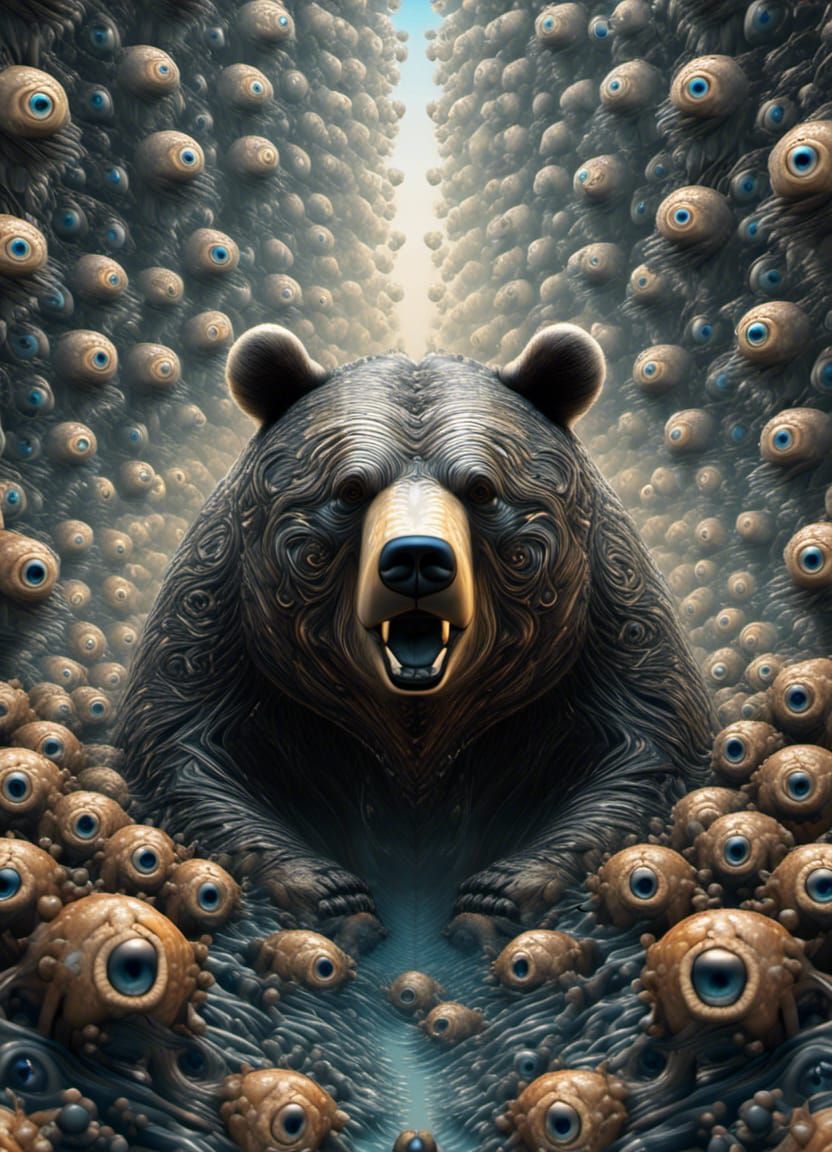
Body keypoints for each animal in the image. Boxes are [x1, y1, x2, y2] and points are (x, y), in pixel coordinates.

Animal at [116, 322, 714, 940]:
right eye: (351, 489)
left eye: (481, 488)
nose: (418, 558)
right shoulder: (222, 609)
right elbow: (184, 752)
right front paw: (337, 894)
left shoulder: (603, 609)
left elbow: (645, 749)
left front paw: (492, 893)